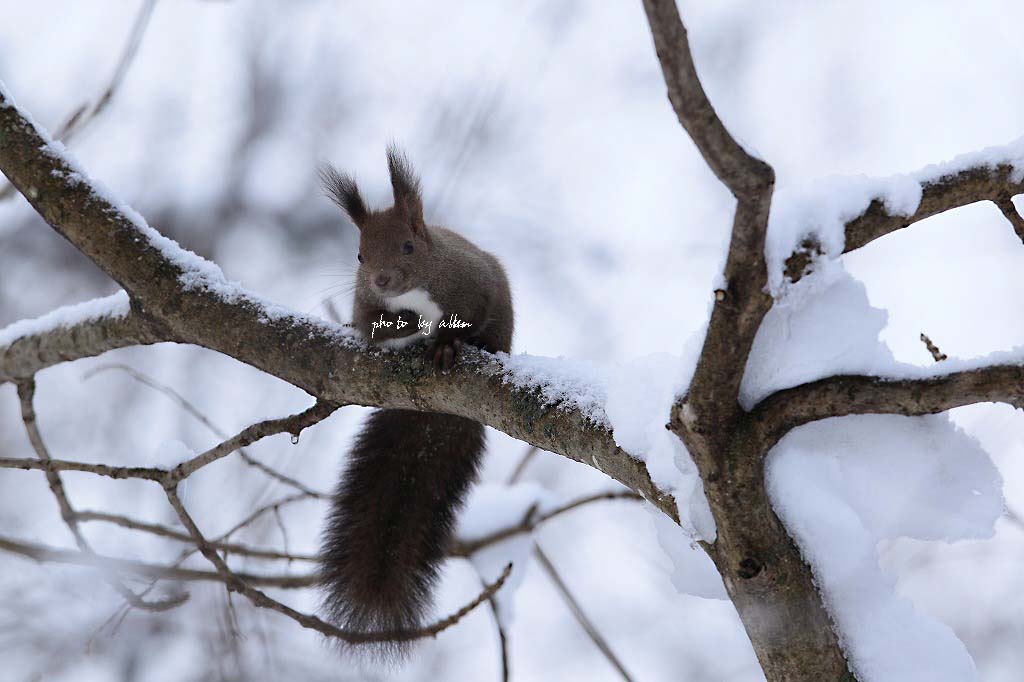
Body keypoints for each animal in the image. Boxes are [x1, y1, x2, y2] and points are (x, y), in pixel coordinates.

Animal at [315, 144, 512, 655]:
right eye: (359, 255)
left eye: (408, 246)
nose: (381, 280)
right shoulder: (365, 304)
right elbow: (371, 327)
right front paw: (397, 328)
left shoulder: (474, 284)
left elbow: (469, 316)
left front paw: (446, 344)